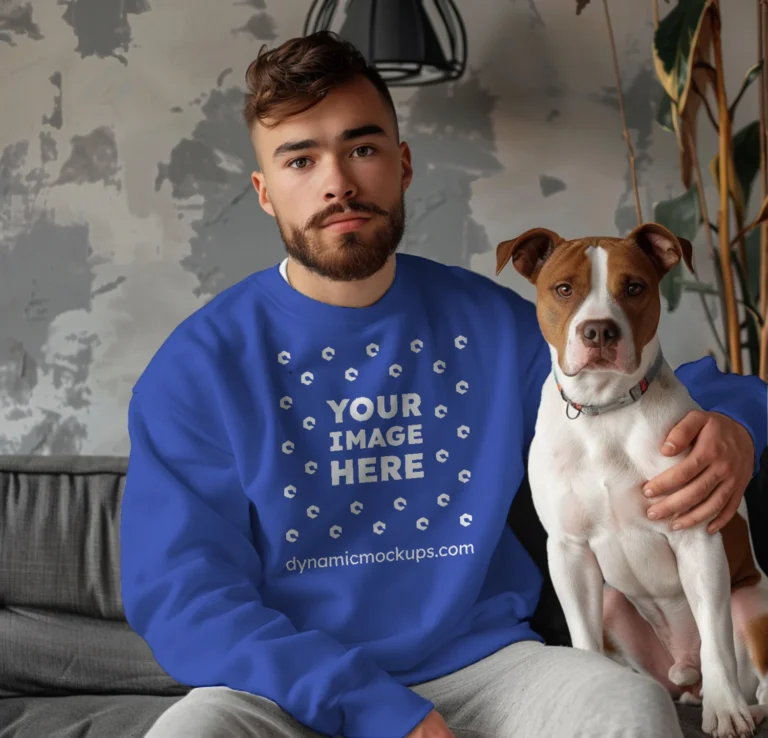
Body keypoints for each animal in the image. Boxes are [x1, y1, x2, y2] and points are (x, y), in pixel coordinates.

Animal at [496, 221, 768, 732]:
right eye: (564, 289)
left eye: (635, 288)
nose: (599, 329)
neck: (605, 410)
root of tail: (684, 671)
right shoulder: (568, 550)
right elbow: (582, 639)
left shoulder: (696, 537)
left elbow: (715, 638)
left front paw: (725, 712)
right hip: (613, 604)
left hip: (752, 604)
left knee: (751, 673)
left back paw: (742, 705)